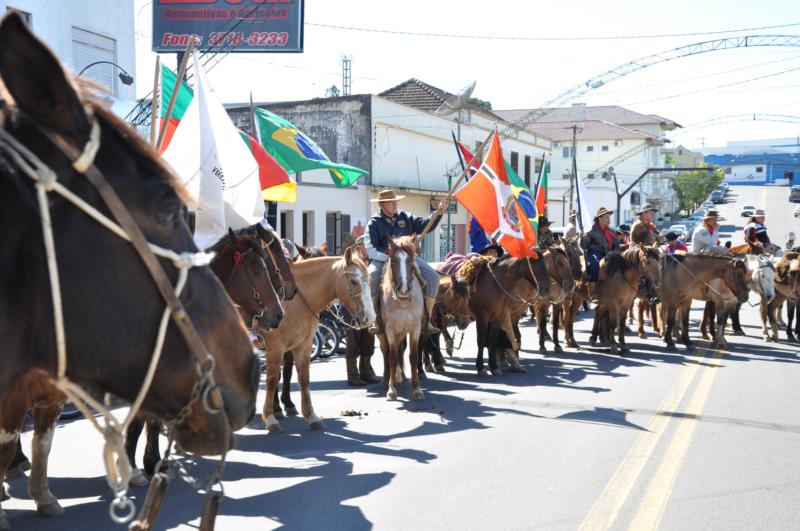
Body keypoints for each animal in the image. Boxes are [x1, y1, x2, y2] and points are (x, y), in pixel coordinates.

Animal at [260, 249, 376, 432]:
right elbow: (272, 379)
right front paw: (270, 417)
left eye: (369, 280)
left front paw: (310, 416)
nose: (370, 318)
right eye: (354, 281)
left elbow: (303, 379)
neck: (293, 300)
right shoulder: (275, 347)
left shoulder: (303, 345)